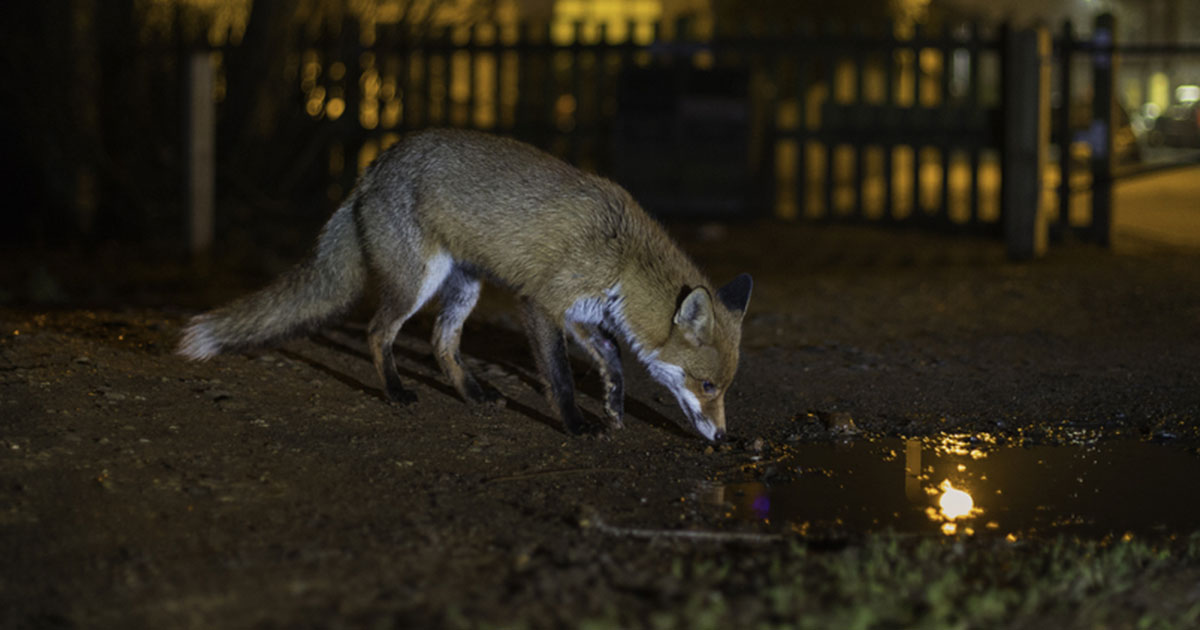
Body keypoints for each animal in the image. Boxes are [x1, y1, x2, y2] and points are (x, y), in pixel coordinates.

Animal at [178, 129, 752, 442]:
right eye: (707, 386)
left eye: (724, 388)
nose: (723, 437)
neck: (624, 259)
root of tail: (373, 167)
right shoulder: (540, 303)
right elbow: (561, 378)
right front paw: (575, 423)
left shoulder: (581, 312)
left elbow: (611, 355)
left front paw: (613, 406)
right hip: (417, 282)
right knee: (376, 332)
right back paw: (395, 391)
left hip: (464, 288)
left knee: (440, 341)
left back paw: (473, 393)